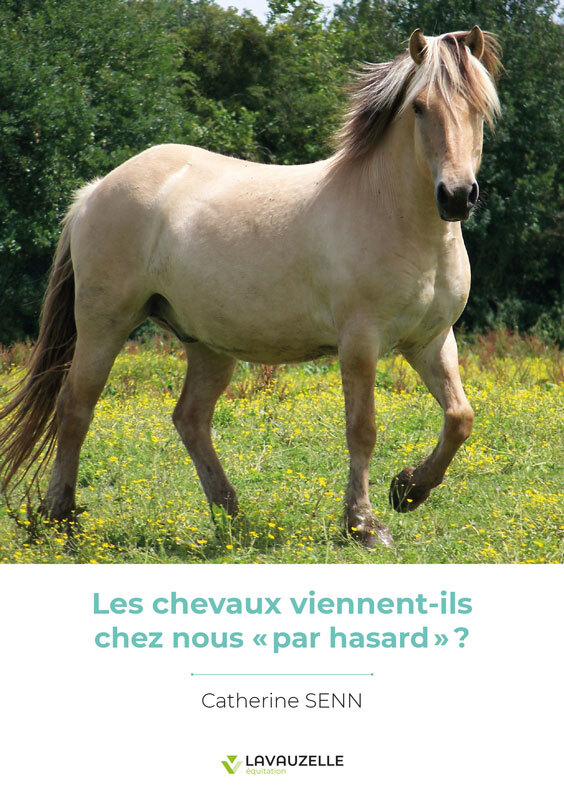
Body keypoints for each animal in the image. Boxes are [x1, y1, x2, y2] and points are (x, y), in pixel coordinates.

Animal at [0, 27, 501, 548]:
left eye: (480, 106)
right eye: (420, 107)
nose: (457, 196)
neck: (397, 217)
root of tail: (94, 190)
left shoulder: (432, 341)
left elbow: (460, 418)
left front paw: (407, 490)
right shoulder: (360, 343)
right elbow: (362, 429)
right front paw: (363, 524)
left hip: (207, 344)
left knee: (190, 418)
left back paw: (231, 516)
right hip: (105, 325)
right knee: (76, 407)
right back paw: (61, 518)